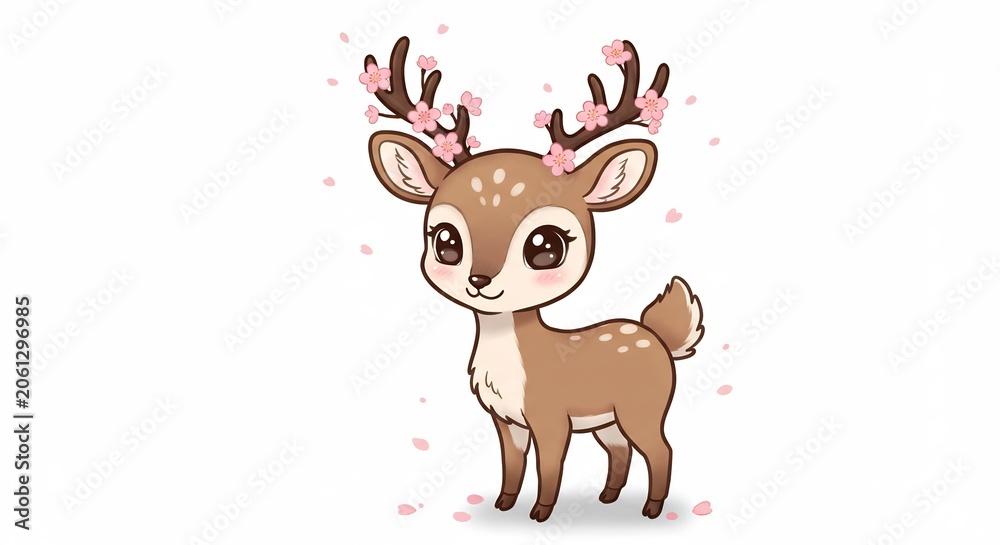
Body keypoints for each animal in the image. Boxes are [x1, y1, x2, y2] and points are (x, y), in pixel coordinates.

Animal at [358, 36, 704, 521]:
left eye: (546, 247)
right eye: (445, 240)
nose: (479, 280)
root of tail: (658, 338)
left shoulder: (550, 417)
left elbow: (549, 466)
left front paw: (541, 513)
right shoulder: (506, 420)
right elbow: (512, 463)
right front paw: (504, 504)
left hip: (642, 407)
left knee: (661, 450)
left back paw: (652, 509)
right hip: (608, 419)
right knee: (620, 450)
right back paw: (608, 497)